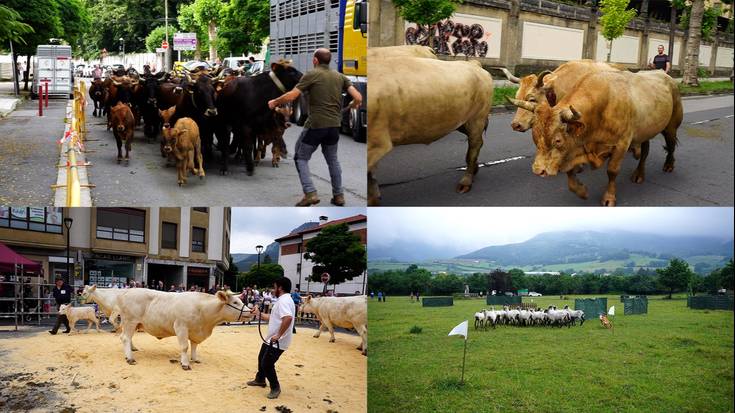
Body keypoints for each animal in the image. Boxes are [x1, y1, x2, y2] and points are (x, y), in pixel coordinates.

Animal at [115, 288, 253, 368]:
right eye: (235, 302)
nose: (251, 311)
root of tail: (126, 292)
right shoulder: (181, 327)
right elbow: (185, 346)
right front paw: (185, 363)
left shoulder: (196, 331)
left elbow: (194, 346)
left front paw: (195, 359)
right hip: (130, 321)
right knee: (125, 338)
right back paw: (130, 358)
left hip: (133, 324)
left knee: (127, 337)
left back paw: (132, 350)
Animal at [368, 54, 494, 206]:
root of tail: (473, 63)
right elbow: (370, 176)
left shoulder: (377, 143)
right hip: (461, 121)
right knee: (476, 142)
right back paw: (475, 169)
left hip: (477, 118)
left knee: (474, 145)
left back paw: (466, 181)